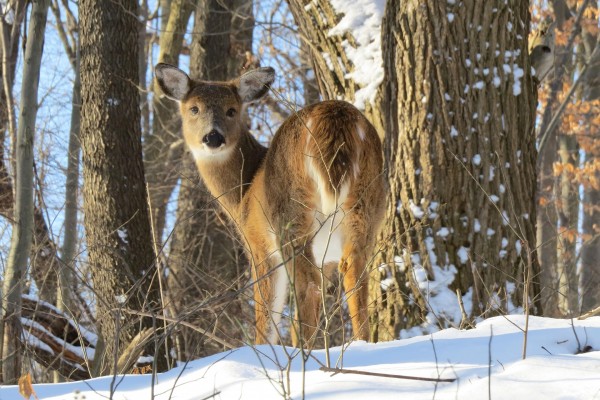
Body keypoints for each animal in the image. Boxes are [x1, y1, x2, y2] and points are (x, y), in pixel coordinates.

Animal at [156, 64, 384, 346]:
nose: (213, 137)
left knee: (308, 284)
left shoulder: (259, 246)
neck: (243, 192)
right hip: (365, 209)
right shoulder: (326, 257)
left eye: (232, 109)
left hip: (289, 214)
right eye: (194, 108)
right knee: (356, 276)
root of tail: (335, 118)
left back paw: (304, 352)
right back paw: (362, 343)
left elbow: (266, 314)